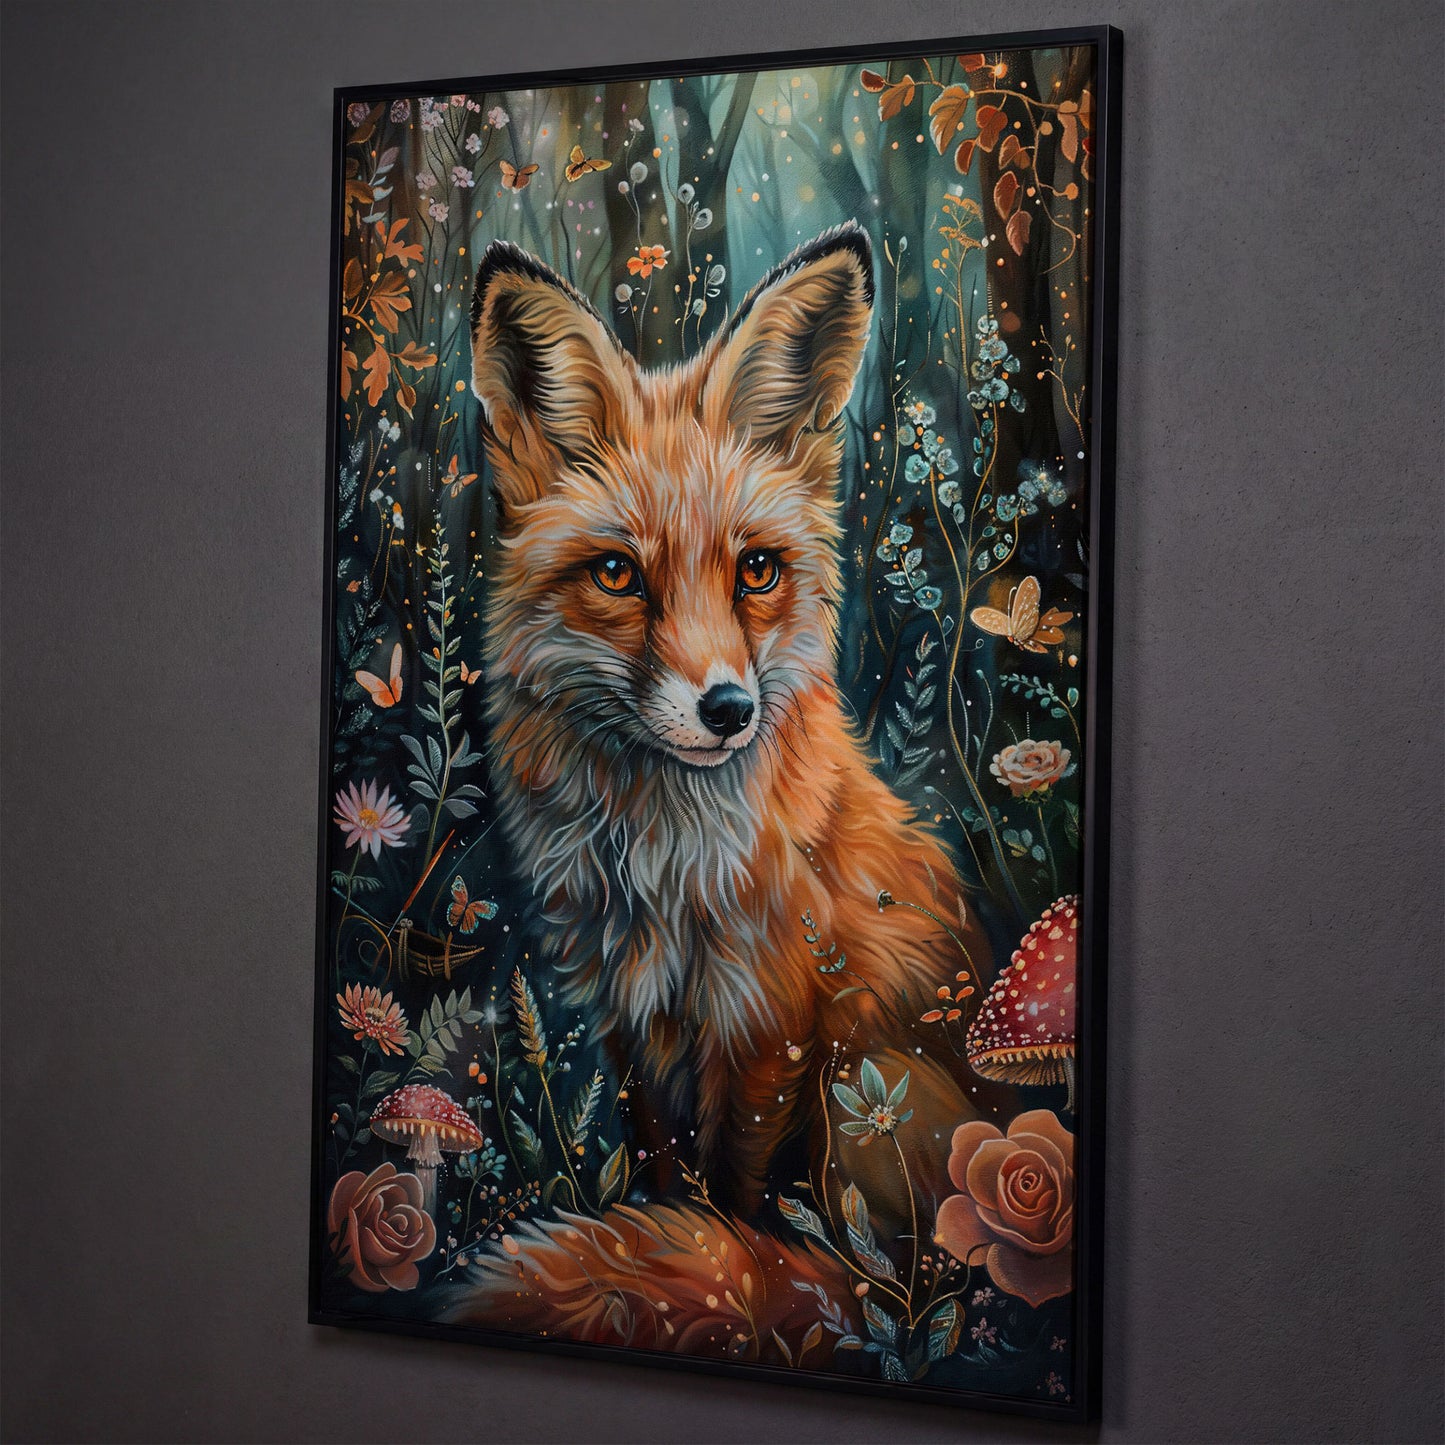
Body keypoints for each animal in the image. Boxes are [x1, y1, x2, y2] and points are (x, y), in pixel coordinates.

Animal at [445, 224, 1004, 1357]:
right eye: (618, 573)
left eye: (755, 570)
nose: (728, 708)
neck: (659, 866)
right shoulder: (632, 1014)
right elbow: (671, 1179)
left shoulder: (768, 1025)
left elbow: (736, 1207)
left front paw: (729, 1282)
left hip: (865, 1091)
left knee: (897, 1281)